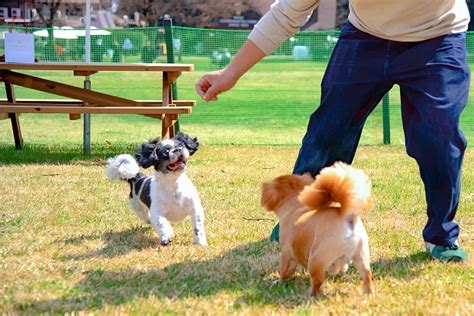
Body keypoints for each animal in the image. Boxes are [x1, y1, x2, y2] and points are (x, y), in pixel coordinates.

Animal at [260, 162, 374, 296]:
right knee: (367, 276)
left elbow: (284, 271)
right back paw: (368, 293)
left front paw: (279, 281)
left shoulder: (286, 254)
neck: (295, 205)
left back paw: (311, 293)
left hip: (316, 259)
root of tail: (347, 218)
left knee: (318, 280)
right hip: (361, 257)